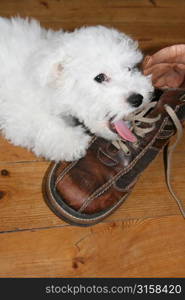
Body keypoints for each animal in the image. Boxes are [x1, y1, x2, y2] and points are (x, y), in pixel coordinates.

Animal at [0, 16, 153, 162]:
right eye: (100, 77)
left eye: (129, 69)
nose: (137, 99)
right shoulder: (21, 110)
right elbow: (43, 120)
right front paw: (71, 142)